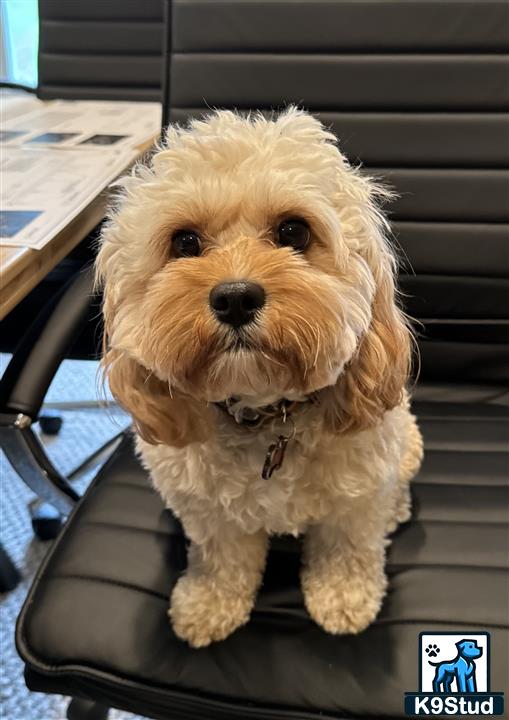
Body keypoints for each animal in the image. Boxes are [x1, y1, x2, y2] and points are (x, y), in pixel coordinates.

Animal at [95, 107, 420, 648]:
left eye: (294, 232)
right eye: (185, 241)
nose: (235, 298)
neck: (267, 414)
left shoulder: (355, 498)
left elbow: (347, 547)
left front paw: (344, 597)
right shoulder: (210, 515)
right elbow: (222, 560)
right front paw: (209, 604)